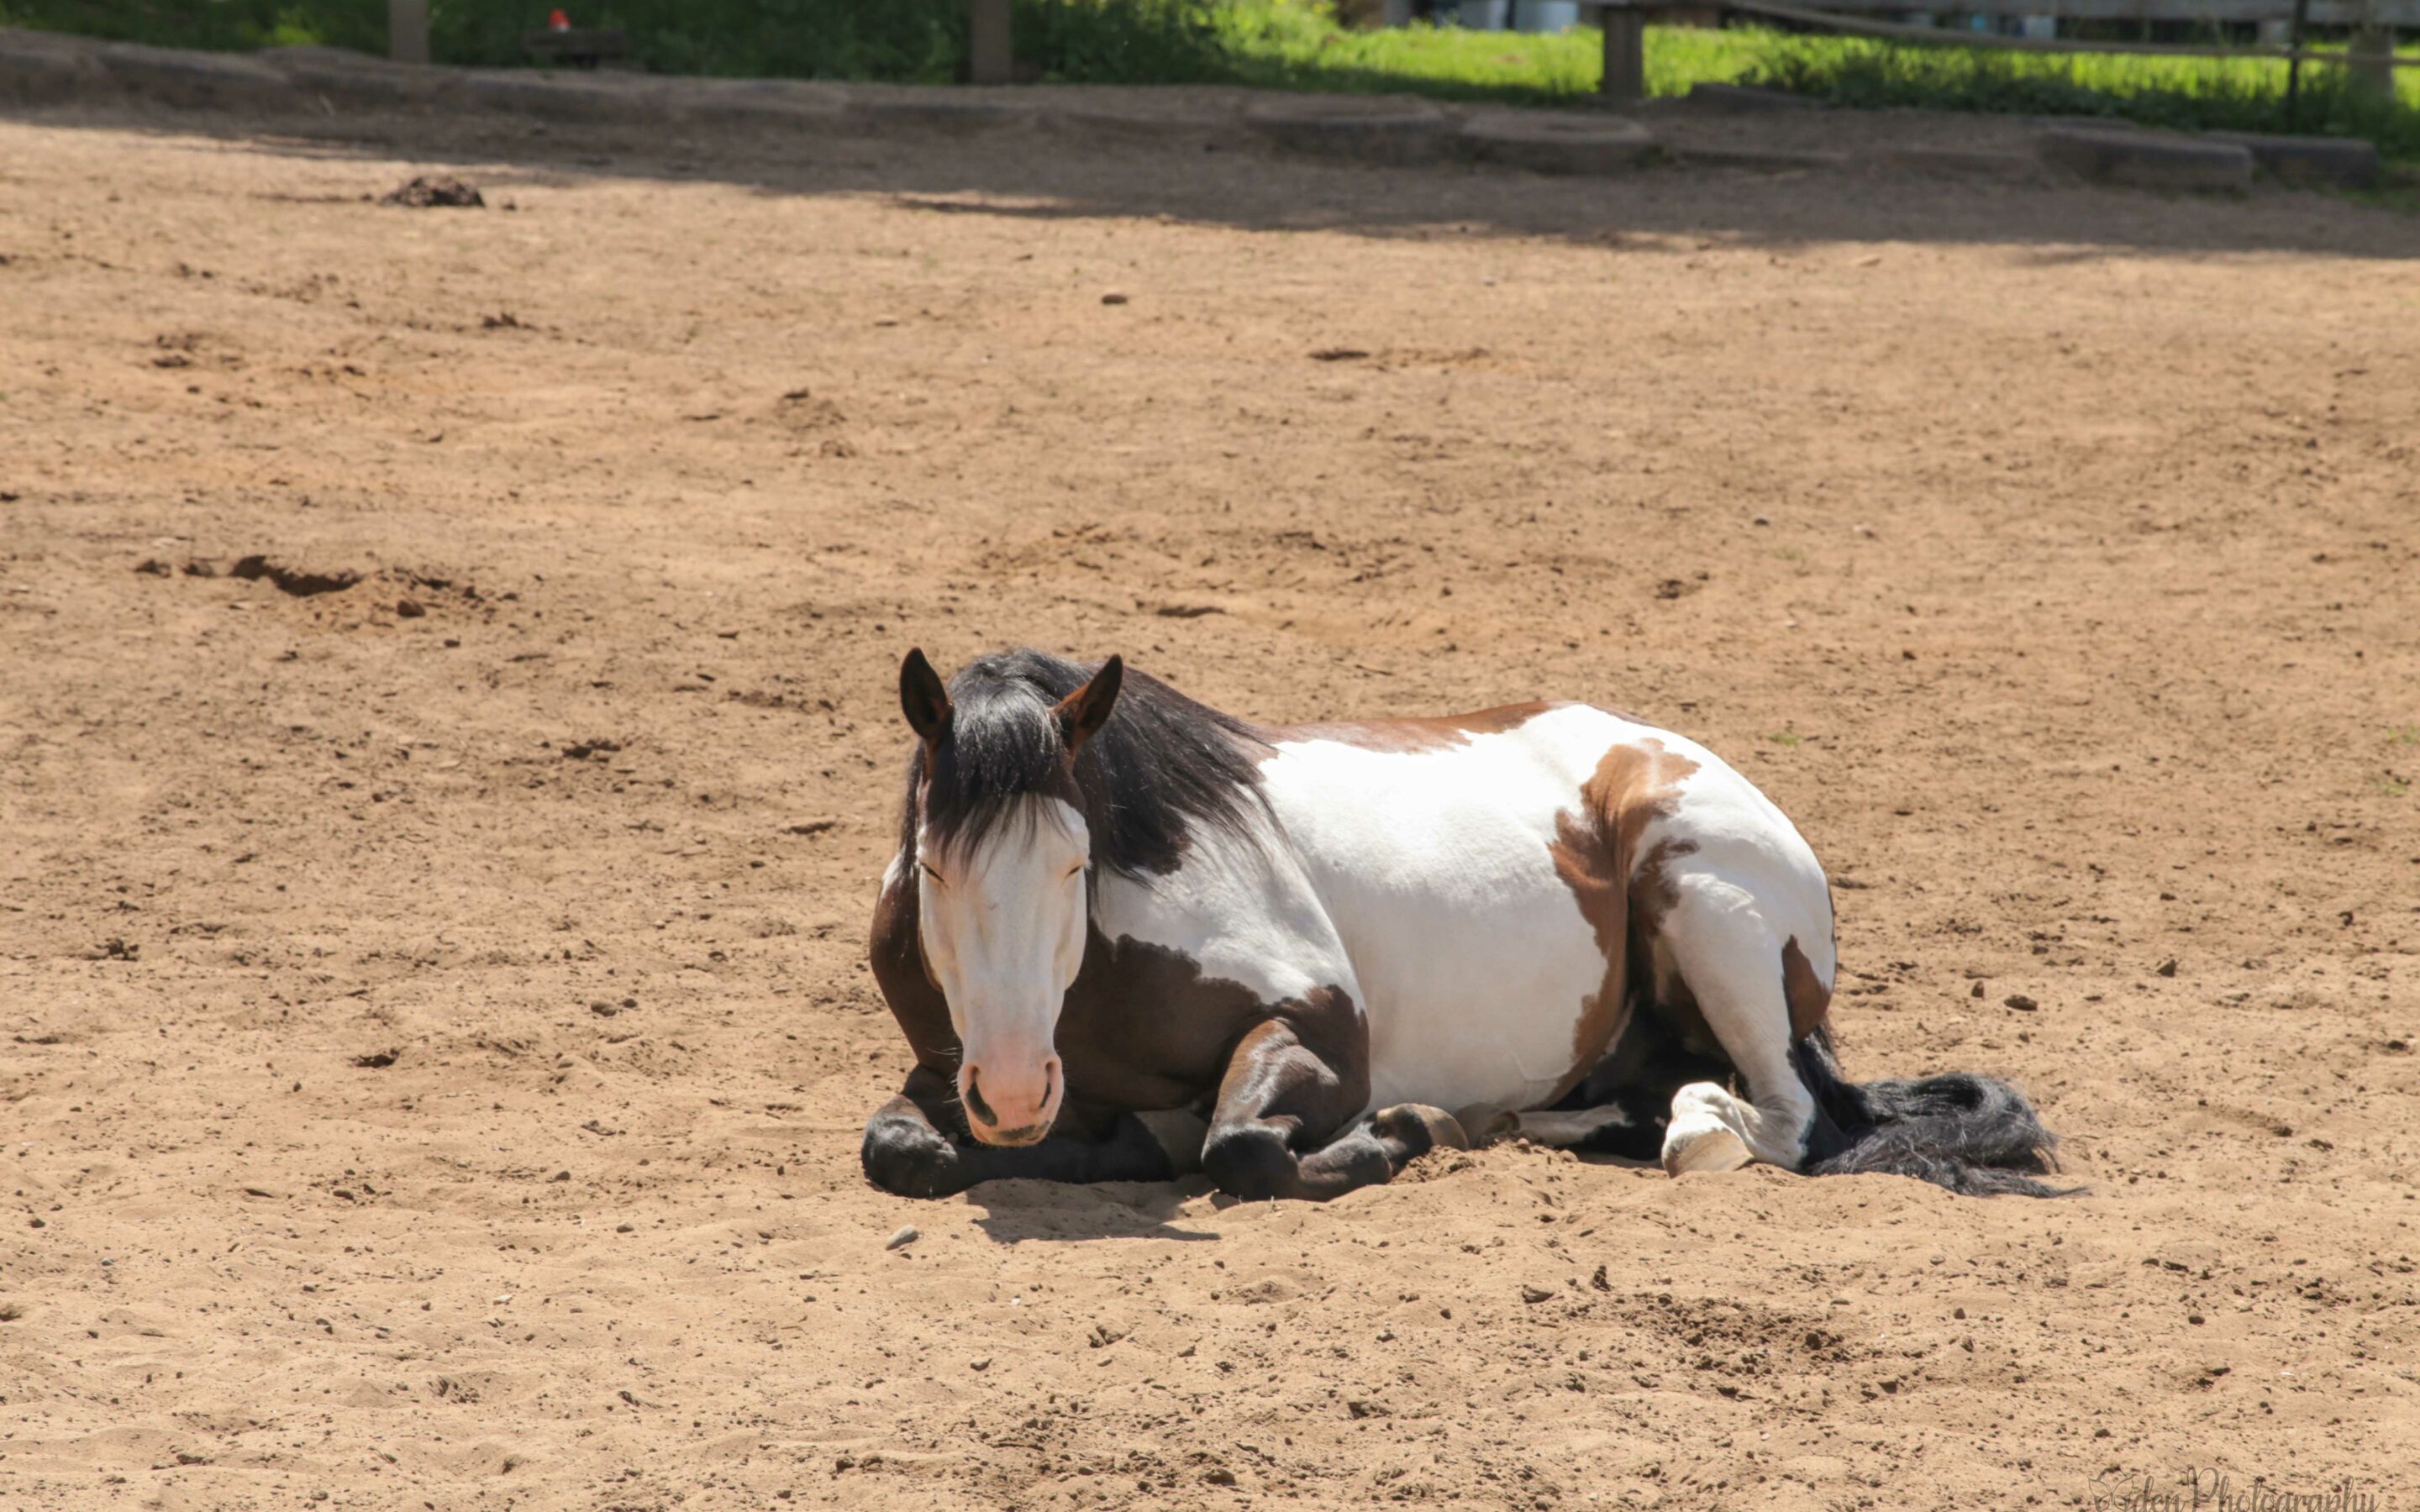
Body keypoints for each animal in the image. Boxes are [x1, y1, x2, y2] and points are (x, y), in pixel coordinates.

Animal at [856, 648, 2061, 1205]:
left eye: (1074, 861)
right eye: (934, 865)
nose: (1018, 1091)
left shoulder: (1325, 1033)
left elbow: (1244, 1145)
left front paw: (1396, 1133)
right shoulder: (951, 1066)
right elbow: (900, 1148)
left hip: (1707, 903)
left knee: (1784, 1118)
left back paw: (1681, 1125)